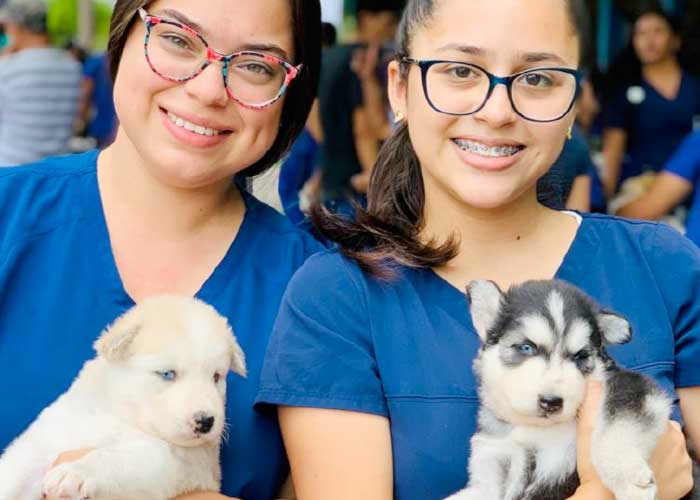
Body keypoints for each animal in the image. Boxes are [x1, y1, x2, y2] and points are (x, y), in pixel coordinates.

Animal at [0, 292, 246, 500]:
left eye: (216, 376)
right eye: (168, 374)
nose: (206, 422)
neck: (124, 415)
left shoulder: (176, 461)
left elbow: (119, 456)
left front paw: (76, 471)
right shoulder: (45, 441)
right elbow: (14, 473)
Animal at [446, 280, 676, 500]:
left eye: (580, 356)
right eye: (527, 347)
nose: (551, 402)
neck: (535, 428)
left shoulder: (630, 386)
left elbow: (616, 426)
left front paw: (627, 476)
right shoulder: (492, 462)